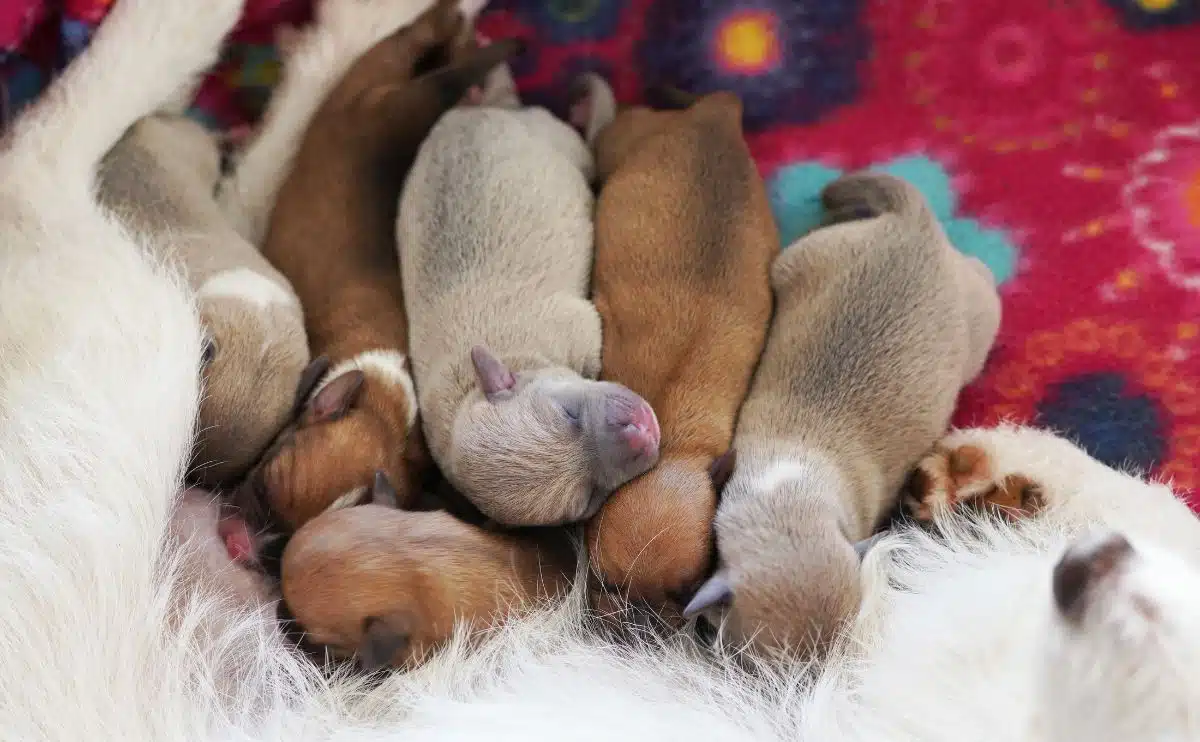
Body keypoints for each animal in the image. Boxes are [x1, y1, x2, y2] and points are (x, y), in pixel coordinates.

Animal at [398, 66, 662, 525]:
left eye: (569, 414)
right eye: (587, 498)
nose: (640, 432)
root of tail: (489, 110)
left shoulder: (576, 329)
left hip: (550, 136)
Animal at [580, 76, 777, 619]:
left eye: (687, 591)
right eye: (603, 581)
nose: (637, 625)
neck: (668, 447)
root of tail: (717, 113)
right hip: (626, 139)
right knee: (605, 130)